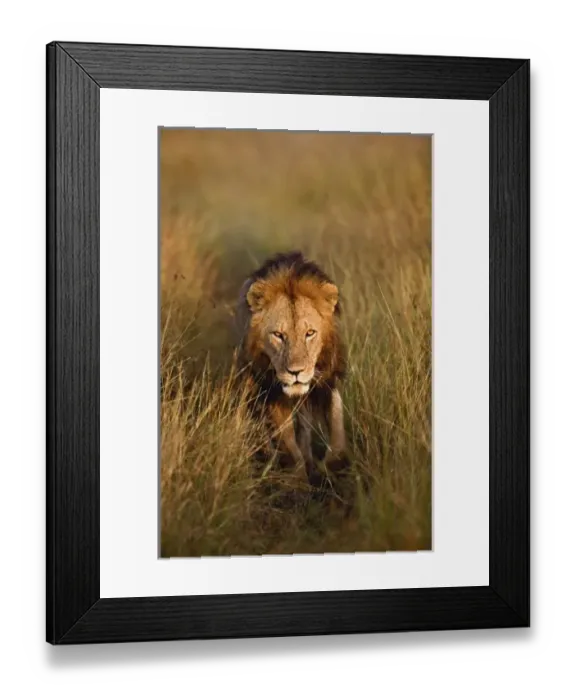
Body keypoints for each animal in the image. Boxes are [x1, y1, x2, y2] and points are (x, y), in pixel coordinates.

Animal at [235, 251, 348, 485]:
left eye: (310, 333)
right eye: (278, 335)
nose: (295, 372)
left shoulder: (327, 379)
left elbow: (337, 420)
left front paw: (332, 464)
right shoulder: (272, 390)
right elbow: (286, 439)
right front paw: (298, 479)